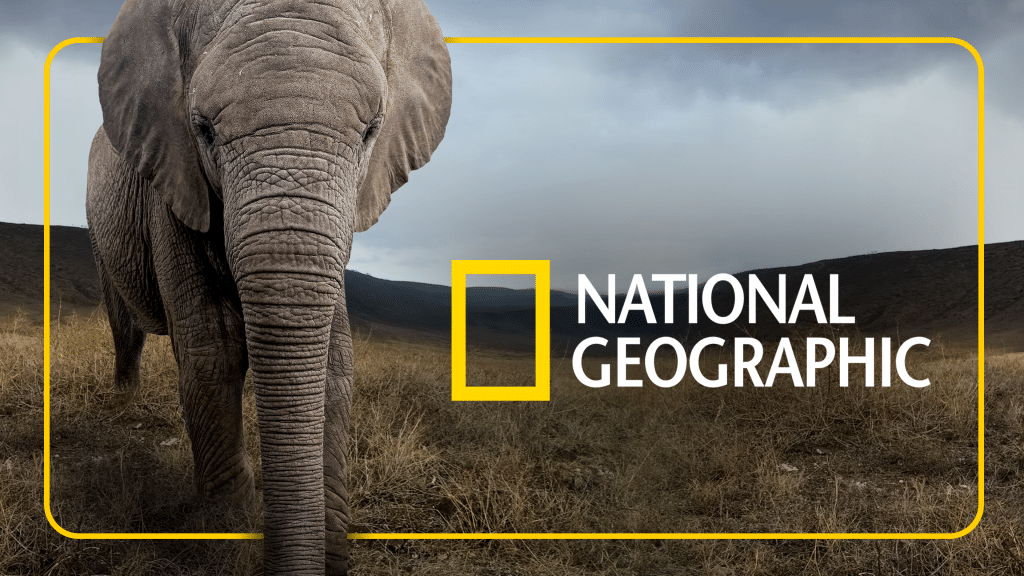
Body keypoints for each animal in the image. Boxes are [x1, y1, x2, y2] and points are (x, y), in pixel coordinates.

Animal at [85, 0, 451, 573]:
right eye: (203, 129)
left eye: (372, 131)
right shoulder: (172, 179)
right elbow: (213, 350)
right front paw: (228, 534)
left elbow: (332, 363)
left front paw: (330, 545)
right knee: (125, 326)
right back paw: (125, 401)